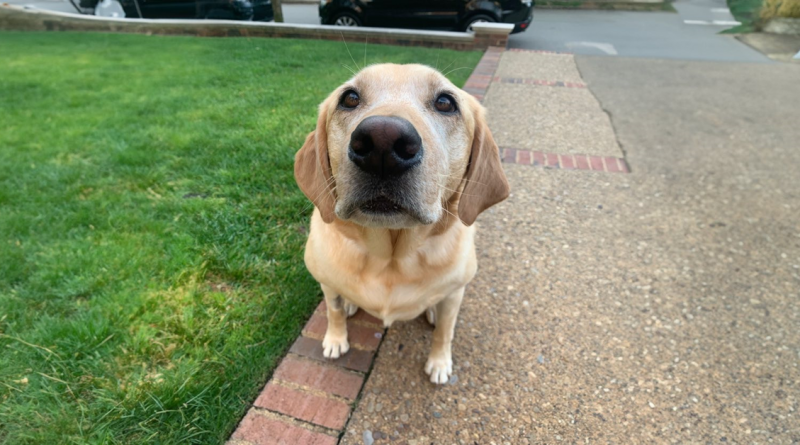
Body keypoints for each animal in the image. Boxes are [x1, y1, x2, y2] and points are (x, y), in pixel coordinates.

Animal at [296, 61, 510, 382]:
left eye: (445, 102)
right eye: (350, 98)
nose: (381, 142)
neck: (391, 257)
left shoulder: (455, 293)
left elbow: (445, 330)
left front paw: (439, 362)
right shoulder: (326, 283)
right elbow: (333, 311)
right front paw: (335, 339)